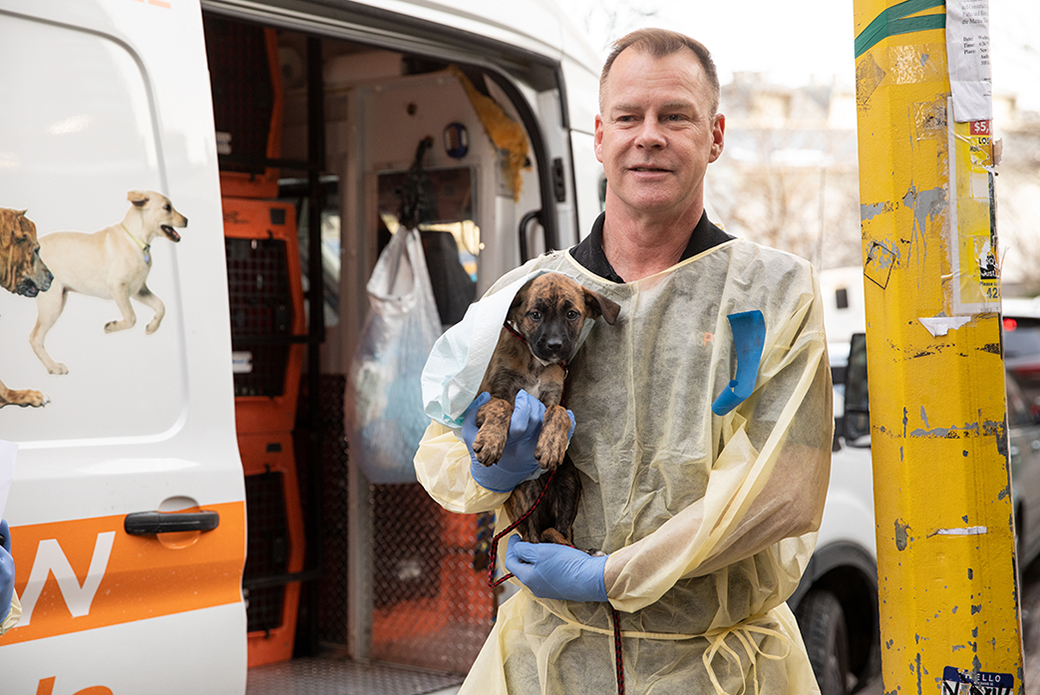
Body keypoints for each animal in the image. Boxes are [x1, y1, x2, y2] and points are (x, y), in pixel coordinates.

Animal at [474, 274, 615, 545]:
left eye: (571, 314)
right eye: (535, 315)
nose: (554, 345)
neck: (535, 363)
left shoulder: (554, 399)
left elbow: (559, 414)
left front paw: (551, 446)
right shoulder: (484, 398)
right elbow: (502, 405)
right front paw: (491, 442)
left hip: (567, 483)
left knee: (560, 534)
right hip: (525, 494)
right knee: (532, 537)